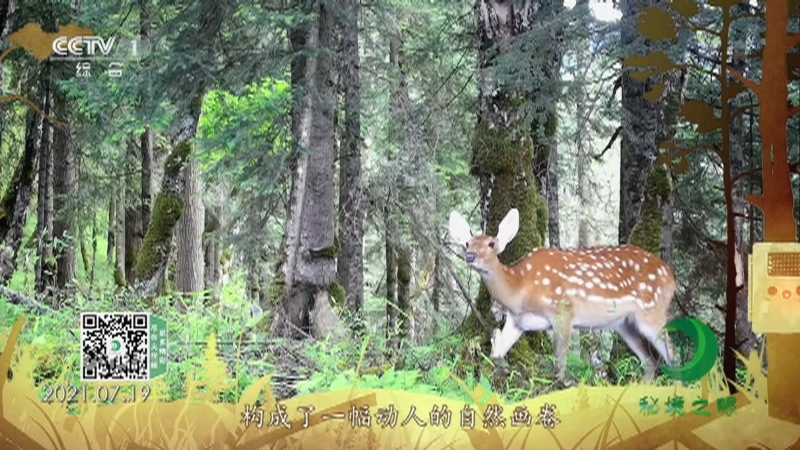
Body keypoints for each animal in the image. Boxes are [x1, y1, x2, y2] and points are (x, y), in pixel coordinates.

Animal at [448, 208, 678, 386]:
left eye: (491, 243)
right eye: (467, 243)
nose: (470, 256)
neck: (520, 289)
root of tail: (671, 277)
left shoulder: (562, 310)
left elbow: (559, 363)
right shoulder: (517, 321)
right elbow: (498, 353)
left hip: (652, 309)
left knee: (673, 355)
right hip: (624, 323)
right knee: (651, 362)